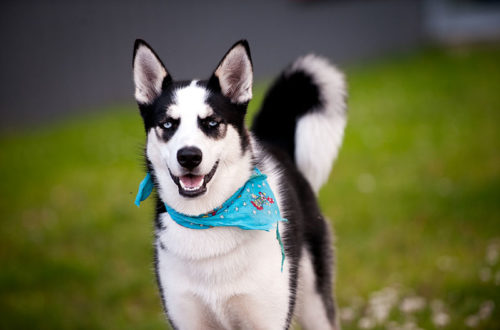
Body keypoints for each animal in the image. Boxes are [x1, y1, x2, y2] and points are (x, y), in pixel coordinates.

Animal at [131, 39, 346, 330]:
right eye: (167, 124)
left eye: (212, 122)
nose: (189, 156)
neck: (208, 219)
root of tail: (274, 144)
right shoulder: (187, 319)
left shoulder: (268, 319)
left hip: (315, 304)